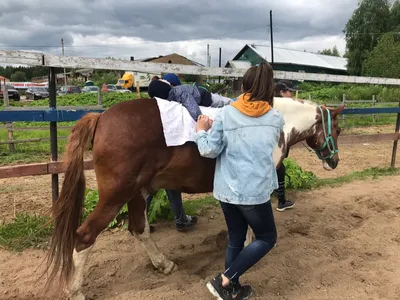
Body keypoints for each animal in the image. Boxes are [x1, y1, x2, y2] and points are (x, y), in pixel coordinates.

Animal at [43, 97, 344, 298]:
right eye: (338, 130)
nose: (334, 162)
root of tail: (101, 118)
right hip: (116, 195)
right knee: (84, 237)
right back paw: (76, 291)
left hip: (136, 193)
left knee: (139, 229)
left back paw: (163, 264)